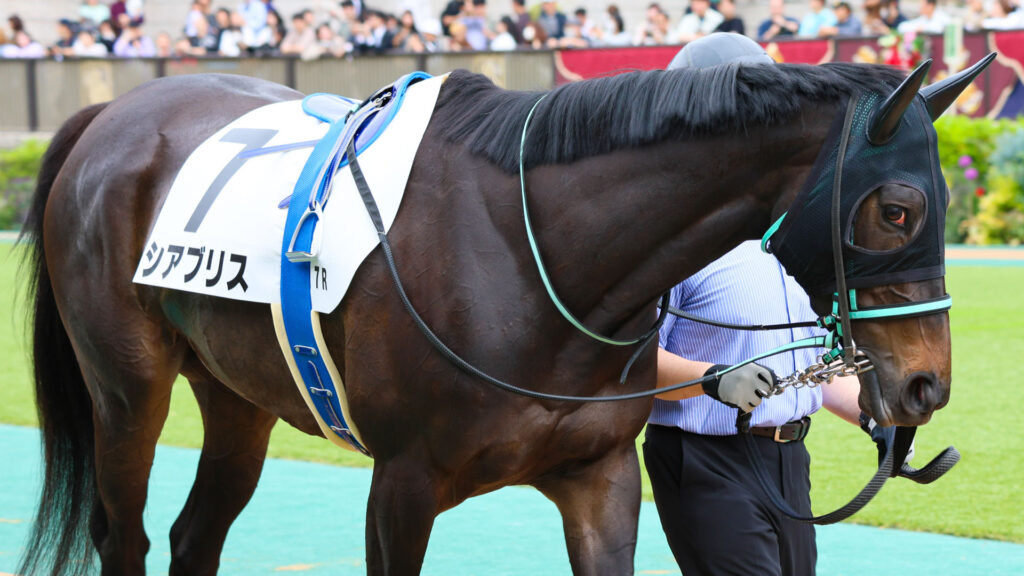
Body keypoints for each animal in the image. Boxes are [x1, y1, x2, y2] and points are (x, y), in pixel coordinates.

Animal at [18, 55, 986, 576]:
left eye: (950, 197)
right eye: (898, 209)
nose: (925, 385)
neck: (533, 260)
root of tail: (113, 112)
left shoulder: (600, 477)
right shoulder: (402, 484)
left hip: (238, 395)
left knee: (194, 534)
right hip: (127, 393)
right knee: (125, 533)